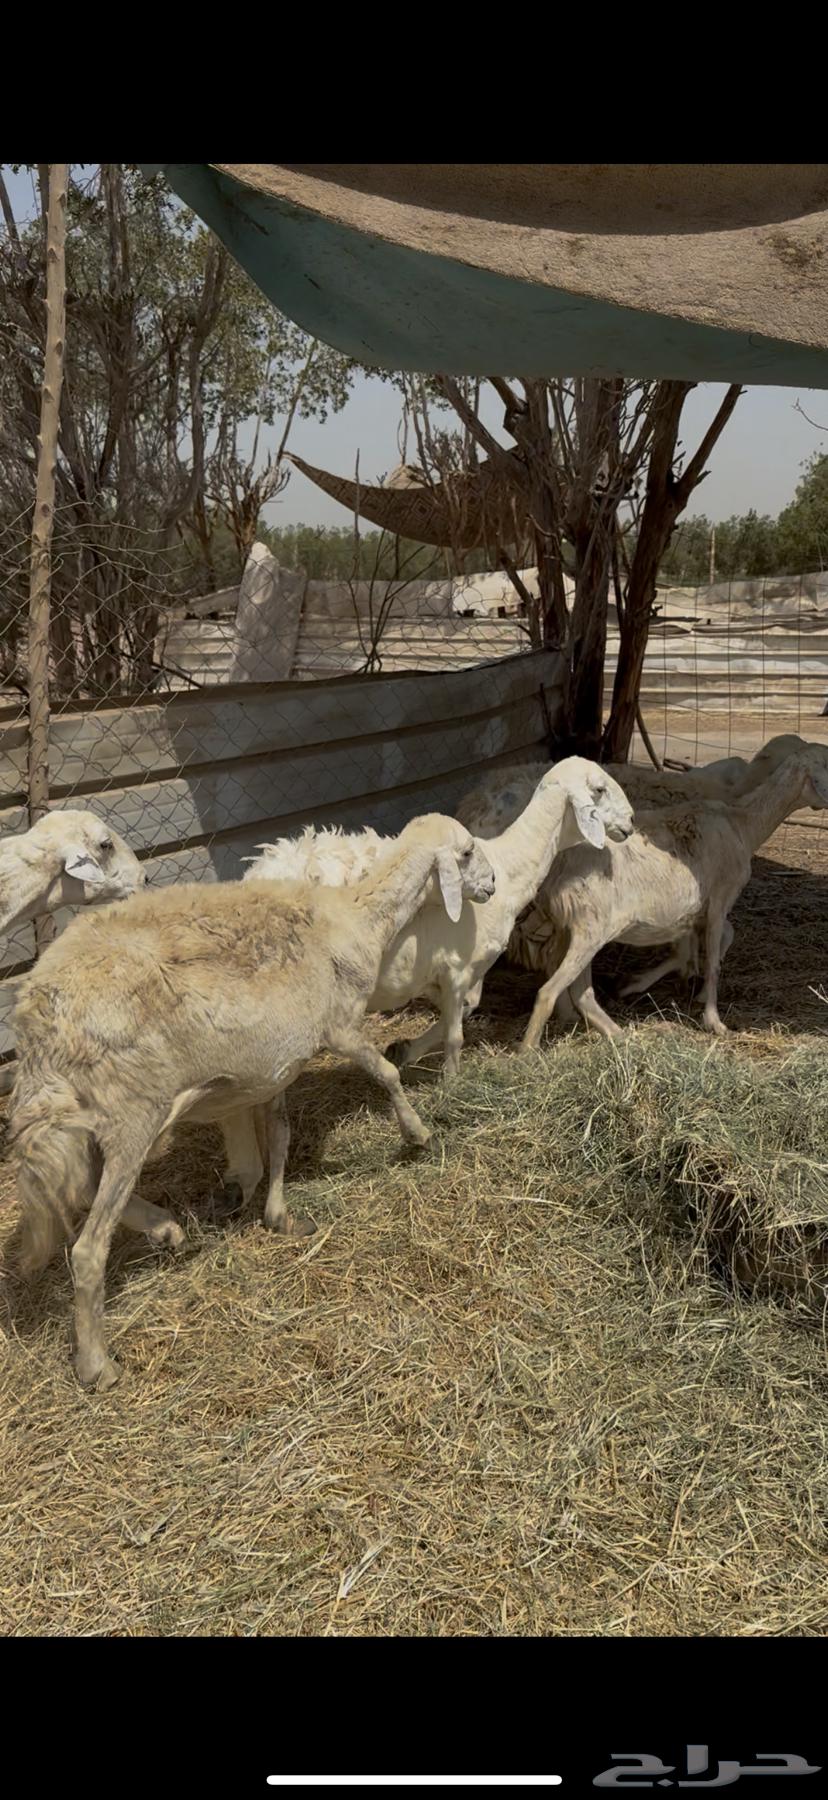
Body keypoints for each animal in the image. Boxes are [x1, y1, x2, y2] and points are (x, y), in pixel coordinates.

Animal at [10, 829, 480, 1392]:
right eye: (469, 852)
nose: (491, 887)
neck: (355, 916)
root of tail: (37, 1019)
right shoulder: (338, 1025)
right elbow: (386, 1073)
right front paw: (418, 1134)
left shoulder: (276, 1063)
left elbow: (279, 1135)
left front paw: (280, 1217)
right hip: (132, 1109)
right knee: (87, 1248)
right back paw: (96, 1365)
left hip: (91, 1115)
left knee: (80, 1190)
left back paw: (167, 1229)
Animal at [506, 747, 828, 1049]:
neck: (742, 824)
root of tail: (560, 869)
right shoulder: (720, 898)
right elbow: (714, 956)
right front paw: (713, 1020)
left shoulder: (690, 910)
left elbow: (688, 950)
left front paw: (654, 984)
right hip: (591, 928)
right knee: (557, 989)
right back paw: (530, 1049)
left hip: (569, 926)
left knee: (566, 979)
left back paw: (607, 1030)